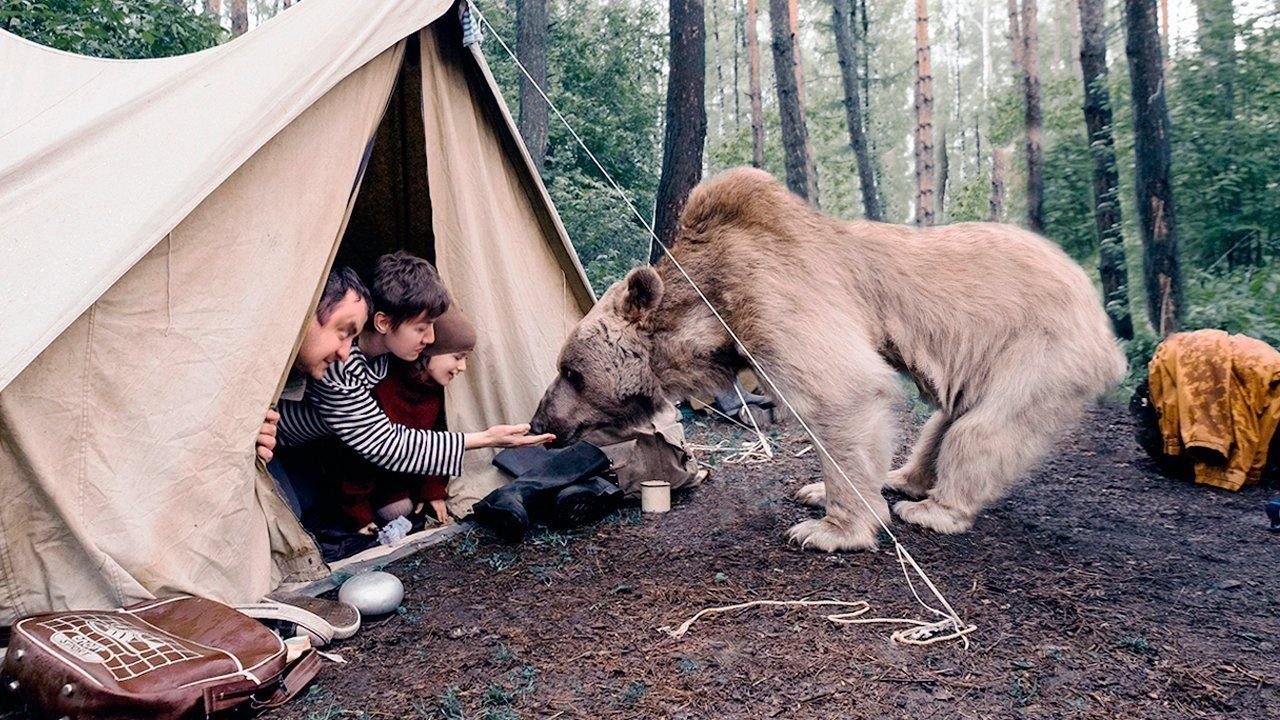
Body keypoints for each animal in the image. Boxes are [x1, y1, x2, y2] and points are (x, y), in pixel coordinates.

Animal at [529, 166, 1121, 548]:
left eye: (569, 370)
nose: (540, 422)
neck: (710, 311)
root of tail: (1100, 314)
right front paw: (816, 489)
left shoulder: (774, 295)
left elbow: (841, 393)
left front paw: (828, 528)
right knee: (944, 422)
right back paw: (902, 478)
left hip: (1036, 349)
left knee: (983, 429)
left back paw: (931, 509)